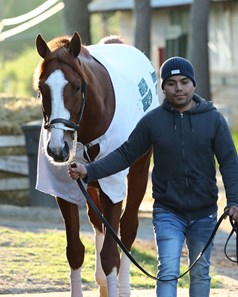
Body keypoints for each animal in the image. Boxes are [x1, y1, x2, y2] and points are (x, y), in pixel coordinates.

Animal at [33, 32, 159, 296]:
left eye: (76, 87)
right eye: (42, 88)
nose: (57, 149)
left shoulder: (112, 185)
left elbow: (111, 254)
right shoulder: (64, 190)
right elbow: (75, 251)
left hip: (139, 171)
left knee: (128, 227)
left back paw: (123, 287)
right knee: (98, 222)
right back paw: (102, 282)